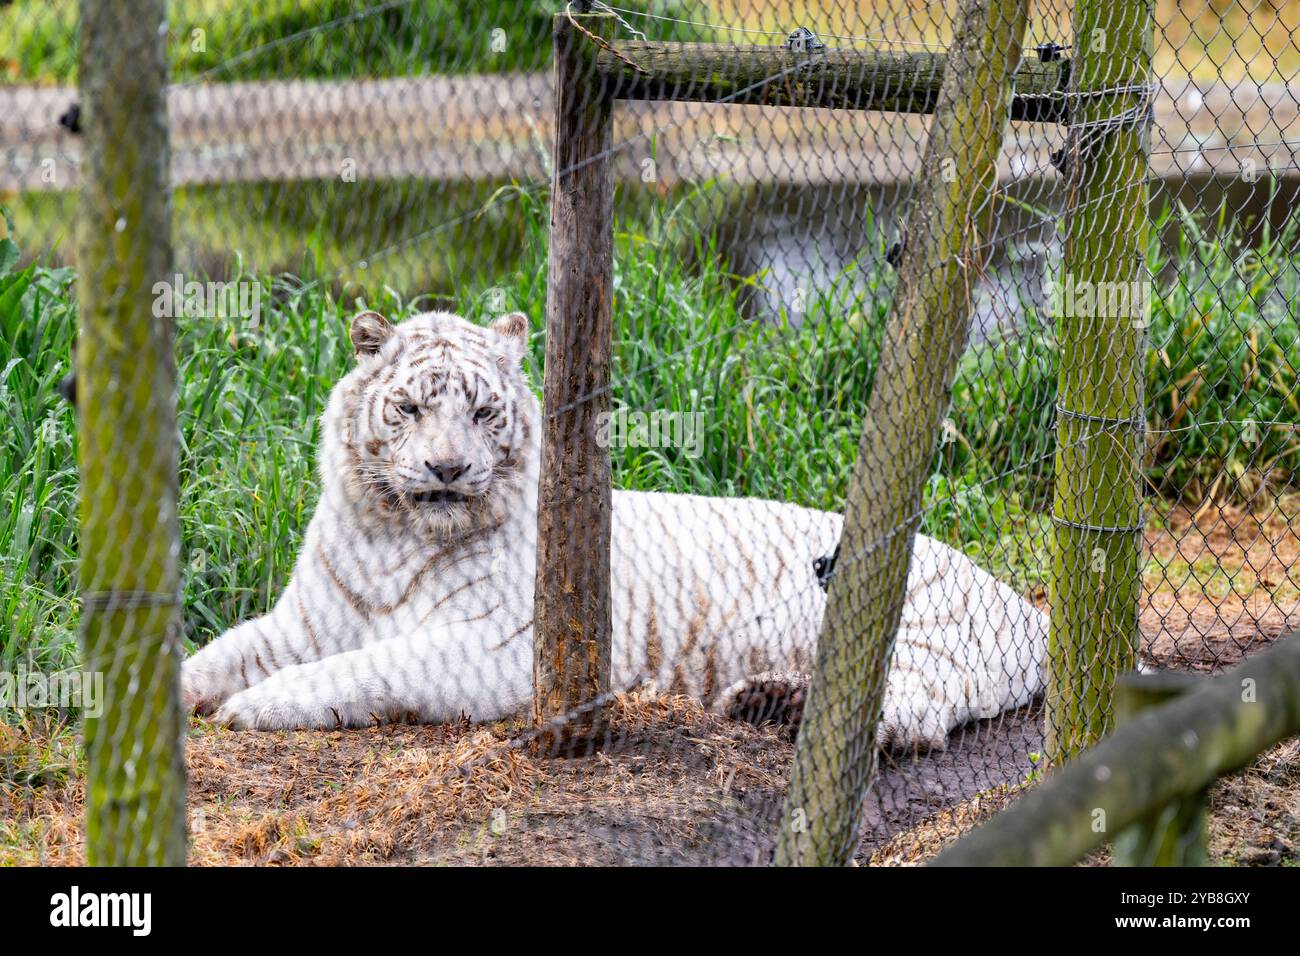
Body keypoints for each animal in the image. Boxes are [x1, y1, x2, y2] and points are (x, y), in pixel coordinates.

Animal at [183, 310, 1050, 749]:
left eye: (482, 412)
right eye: (411, 407)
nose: (447, 470)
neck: (393, 539)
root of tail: (1028, 607)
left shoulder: (492, 648)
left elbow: (366, 667)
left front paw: (258, 705)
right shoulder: (301, 623)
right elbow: (218, 653)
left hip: (916, 628)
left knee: (911, 713)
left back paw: (786, 711)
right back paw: (762, 699)